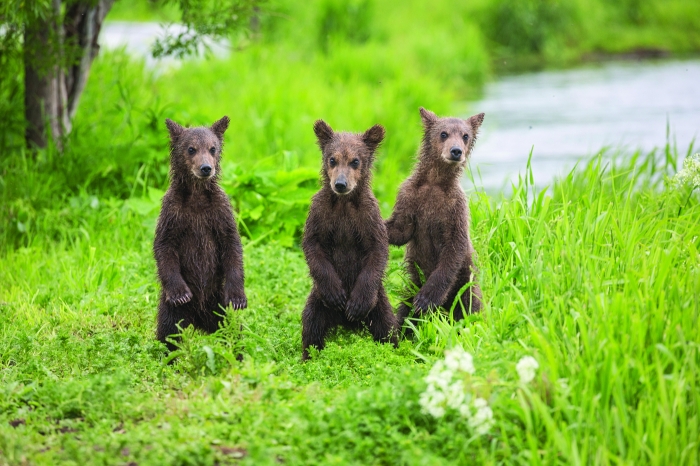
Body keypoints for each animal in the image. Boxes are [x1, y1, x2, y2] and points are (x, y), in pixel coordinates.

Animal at [154, 116, 247, 351]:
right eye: (191, 149)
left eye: (213, 148)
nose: (206, 168)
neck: (196, 195)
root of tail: (199, 320)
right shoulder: (173, 212)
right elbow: (164, 246)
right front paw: (180, 293)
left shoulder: (219, 212)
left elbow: (232, 245)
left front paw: (238, 297)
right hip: (173, 310)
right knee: (169, 332)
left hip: (218, 301)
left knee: (232, 329)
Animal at [301, 120, 398, 360]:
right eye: (332, 159)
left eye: (355, 161)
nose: (340, 184)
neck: (344, 203)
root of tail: (344, 323)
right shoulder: (320, 213)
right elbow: (312, 245)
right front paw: (336, 295)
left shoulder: (368, 217)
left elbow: (378, 250)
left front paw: (355, 305)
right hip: (317, 301)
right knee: (311, 325)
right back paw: (308, 357)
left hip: (379, 303)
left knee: (387, 327)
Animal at [385, 107, 484, 330]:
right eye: (443, 133)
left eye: (465, 135)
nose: (456, 151)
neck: (435, 181)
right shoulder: (410, 197)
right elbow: (400, 229)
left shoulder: (455, 208)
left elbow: (453, 249)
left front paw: (426, 299)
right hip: (413, 283)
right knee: (405, 311)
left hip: (465, 284)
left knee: (469, 307)